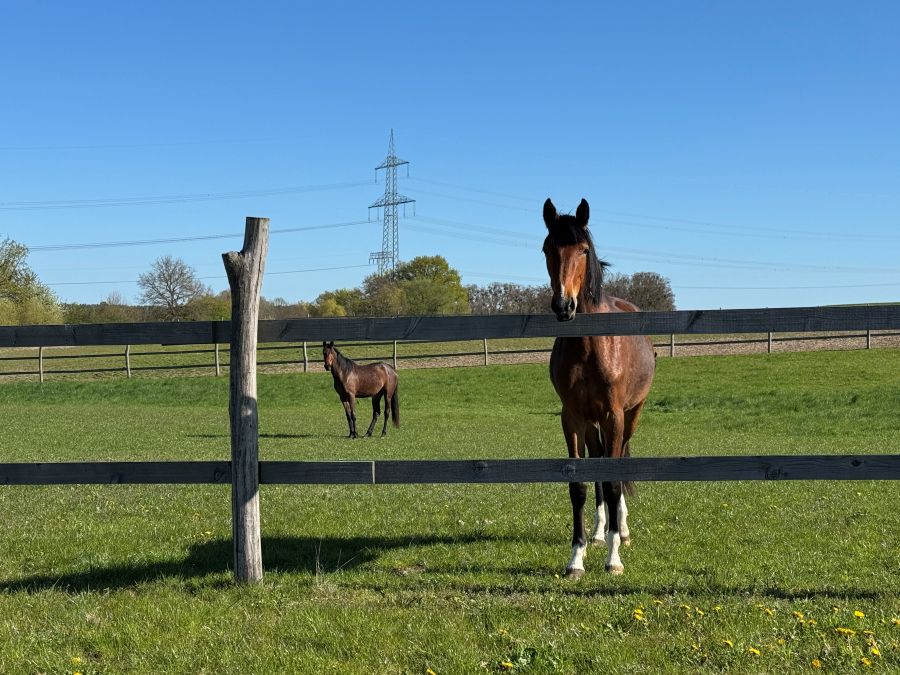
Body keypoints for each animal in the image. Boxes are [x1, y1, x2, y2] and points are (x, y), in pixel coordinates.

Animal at [542, 197, 656, 578]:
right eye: (548, 248)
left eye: (583, 250)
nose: (564, 306)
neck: (590, 345)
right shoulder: (573, 419)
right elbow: (579, 484)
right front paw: (576, 557)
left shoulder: (614, 416)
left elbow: (614, 480)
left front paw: (614, 557)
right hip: (592, 424)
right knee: (598, 469)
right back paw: (597, 532)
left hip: (631, 416)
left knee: (617, 466)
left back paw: (621, 530)